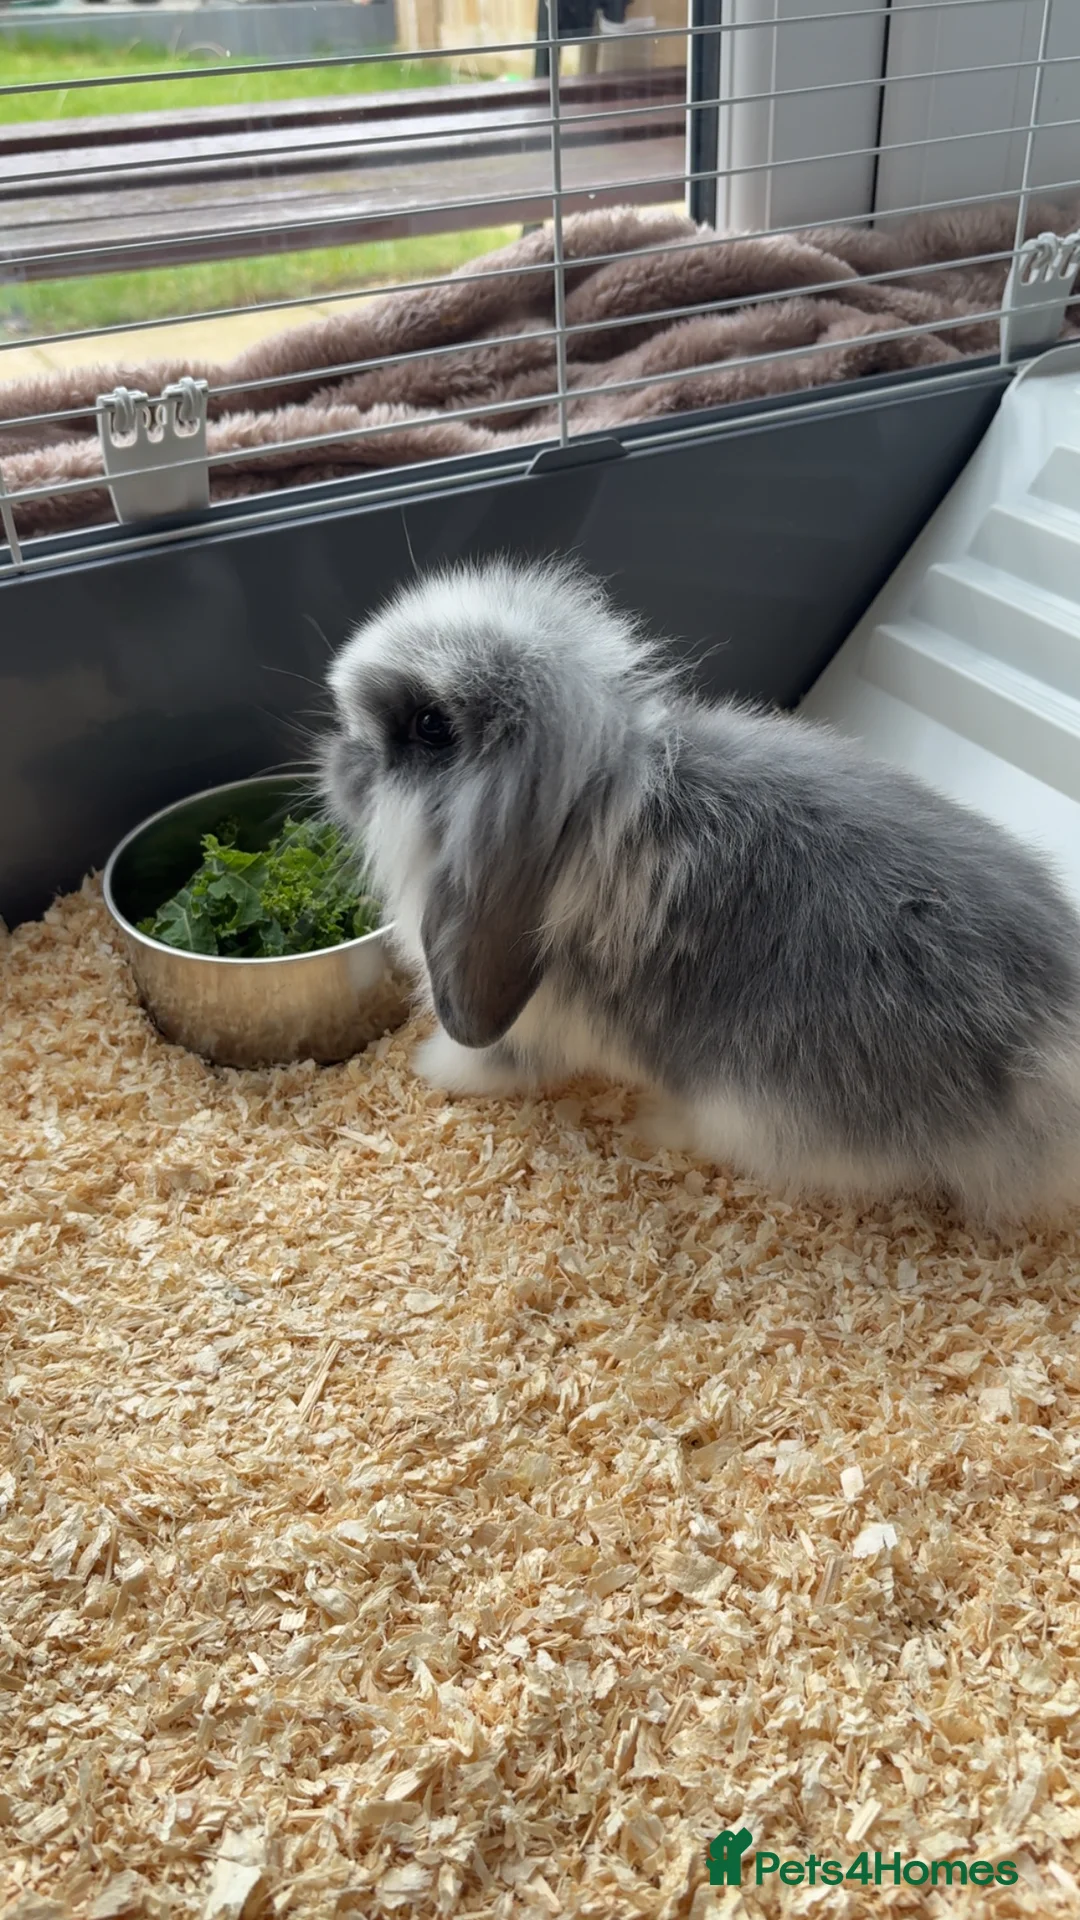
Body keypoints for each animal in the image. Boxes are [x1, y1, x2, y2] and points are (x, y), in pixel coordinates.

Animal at [321, 556, 1080, 1227]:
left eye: (430, 727)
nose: (339, 756)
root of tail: (1044, 1051)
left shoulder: (526, 1020)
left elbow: (489, 1056)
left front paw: (434, 1070)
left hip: (751, 1102)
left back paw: (652, 1123)